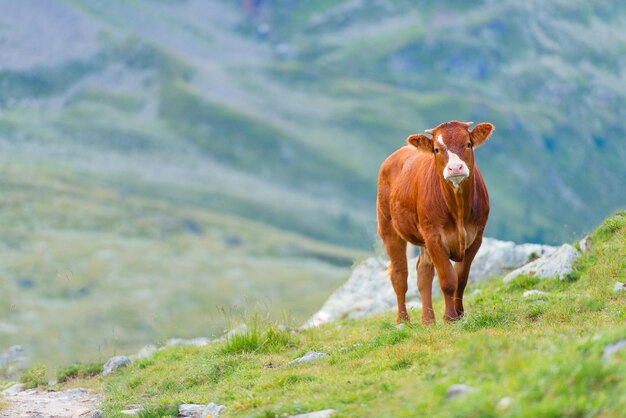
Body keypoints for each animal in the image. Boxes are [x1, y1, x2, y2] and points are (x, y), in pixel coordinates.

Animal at [376, 119, 492, 324]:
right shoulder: (433, 237)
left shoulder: (476, 237)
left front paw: (460, 314)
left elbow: (461, 279)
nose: (455, 168)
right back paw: (403, 320)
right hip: (388, 227)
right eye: (437, 149)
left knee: (423, 272)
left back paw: (428, 321)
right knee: (399, 275)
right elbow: (448, 280)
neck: (458, 209)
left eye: (468, 144)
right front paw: (450, 317)